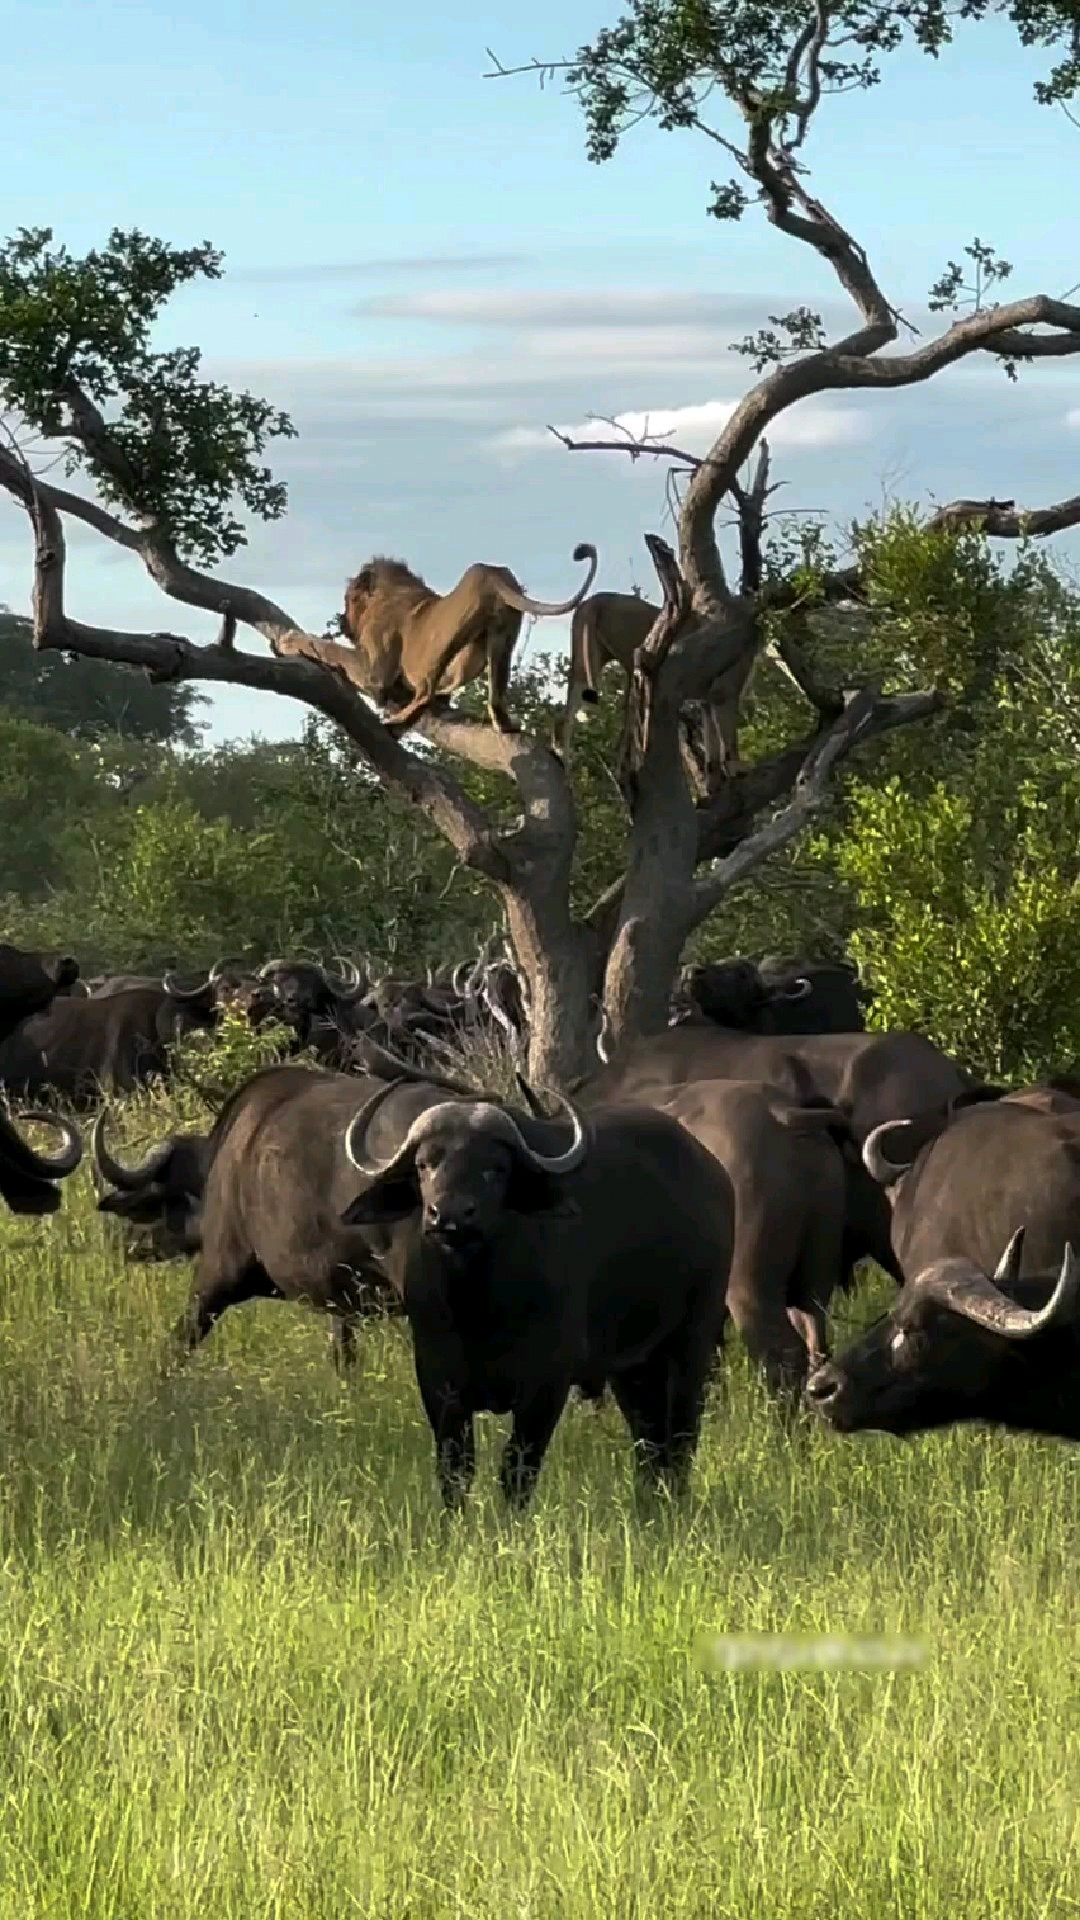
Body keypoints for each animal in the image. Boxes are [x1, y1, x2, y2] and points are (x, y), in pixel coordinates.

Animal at [276, 545, 595, 729]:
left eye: (349, 599)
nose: (343, 618)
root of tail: (495, 576)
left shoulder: (374, 671)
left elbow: (330, 648)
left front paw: (289, 640)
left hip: (443, 639)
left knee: (426, 691)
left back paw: (399, 720)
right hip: (499, 638)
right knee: (493, 695)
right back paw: (500, 722)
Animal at [340, 1082, 734, 1497]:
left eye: (495, 1168)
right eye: (424, 1164)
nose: (449, 1215)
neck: (476, 1306)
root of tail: (715, 1176)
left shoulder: (546, 1386)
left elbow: (517, 1472)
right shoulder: (439, 1384)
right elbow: (455, 1472)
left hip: (694, 1341)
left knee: (682, 1438)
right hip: (634, 1367)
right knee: (650, 1445)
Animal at [557, 583, 753, 771]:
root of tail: (595, 600)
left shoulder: (708, 699)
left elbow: (712, 745)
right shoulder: (724, 692)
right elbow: (728, 741)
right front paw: (735, 768)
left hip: (586, 663)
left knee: (567, 718)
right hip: (631, 663)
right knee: (628, 726)